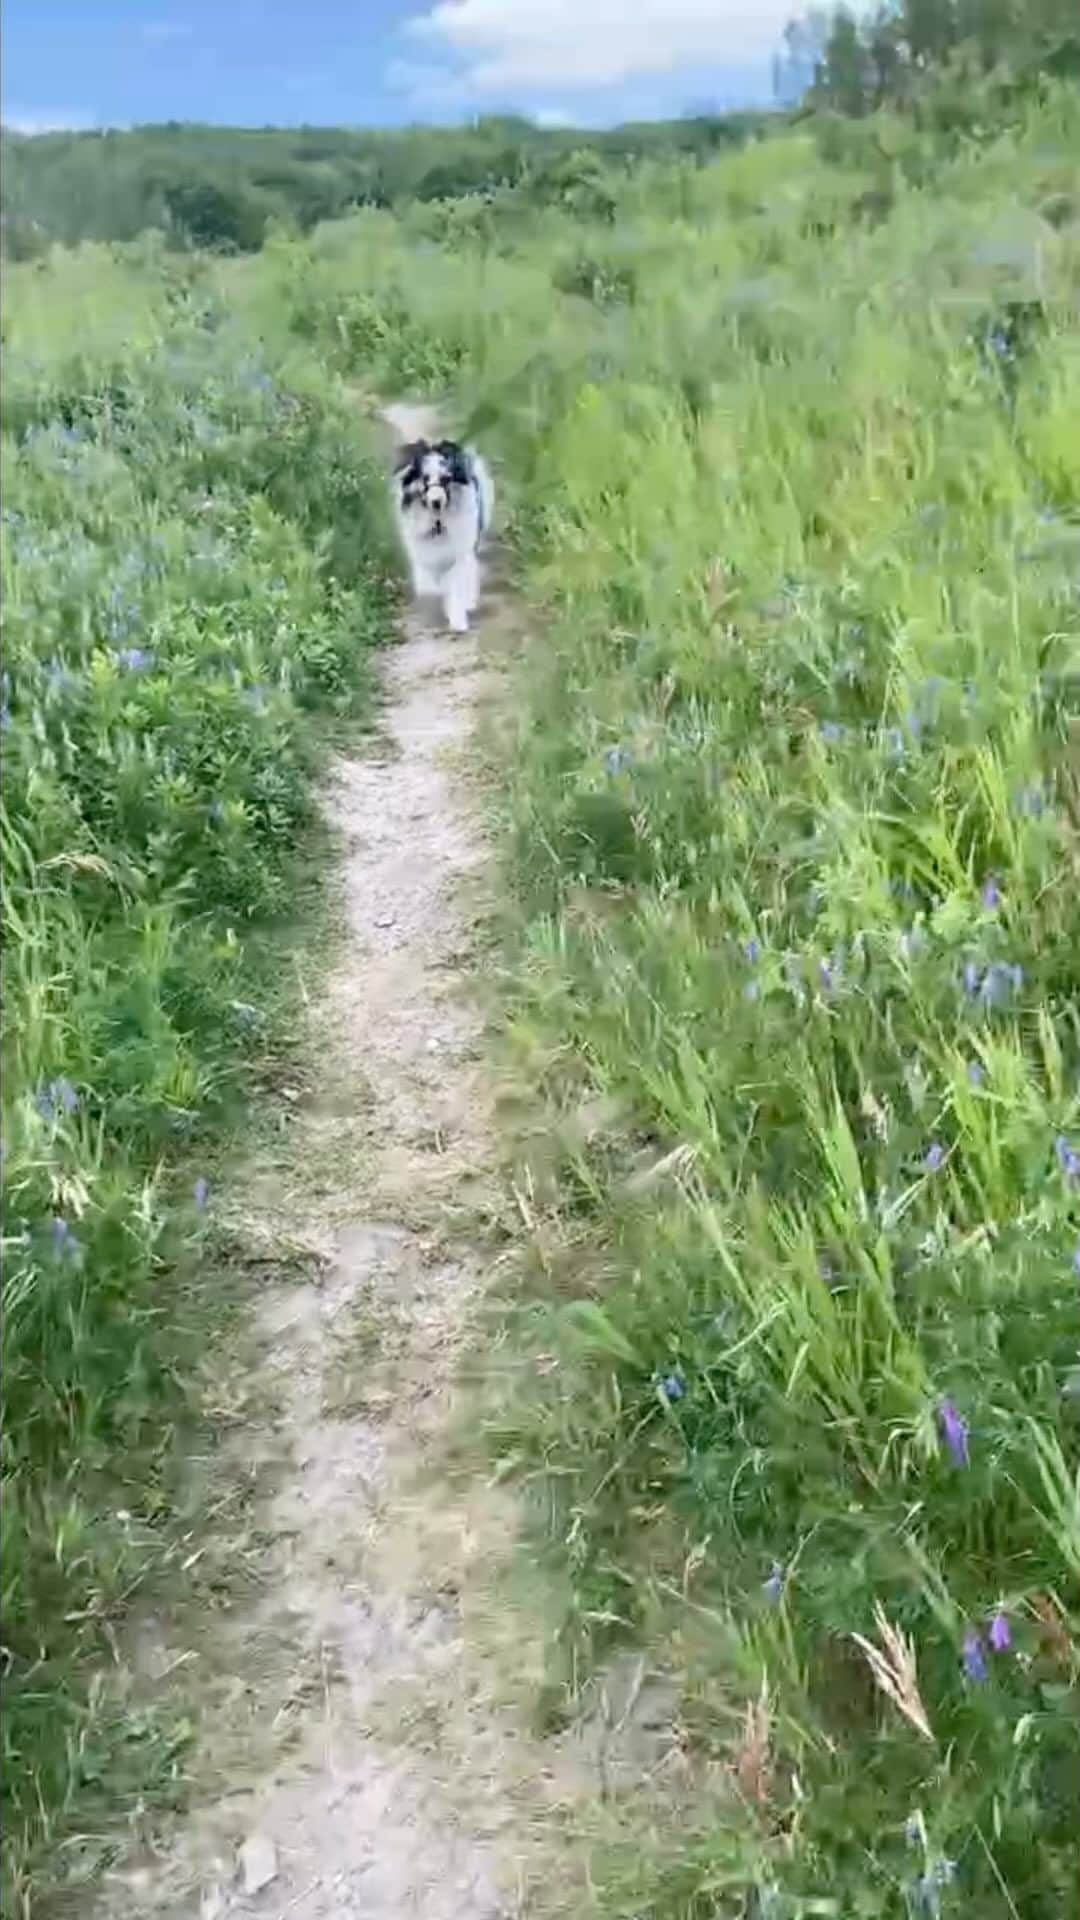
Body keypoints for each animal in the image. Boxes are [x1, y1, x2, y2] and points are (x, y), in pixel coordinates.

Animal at [388, 433, 495, 629]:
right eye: (424, 479)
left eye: (446, 479)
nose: (436, 501)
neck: (438, 523)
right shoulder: (422, 552)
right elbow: (429, 585)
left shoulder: (462, 551)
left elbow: (457, 583)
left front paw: (458, 619)